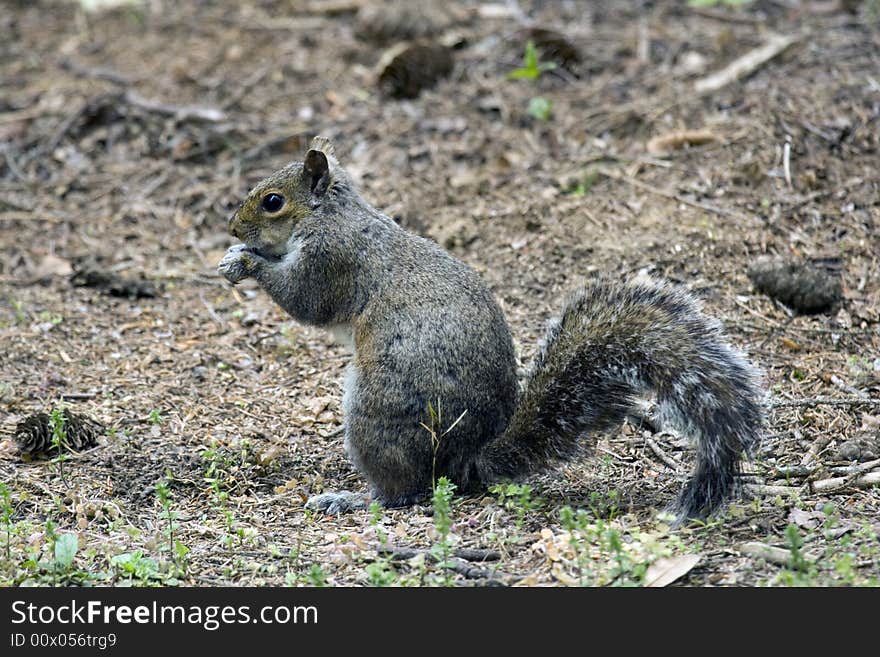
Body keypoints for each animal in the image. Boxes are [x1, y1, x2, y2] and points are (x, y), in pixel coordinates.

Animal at [218, 138, 764, 524]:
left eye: (271, 201)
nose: (232, 228)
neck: (333, 214)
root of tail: (466, 459)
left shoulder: (334, 259)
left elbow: (306, 300)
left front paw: (245, 263)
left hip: (379, 412)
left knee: (406, 490)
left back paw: (351, 498)